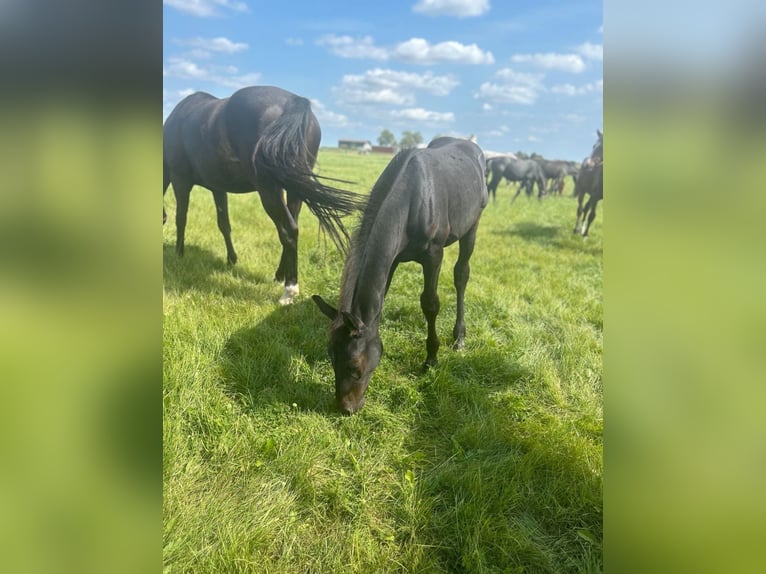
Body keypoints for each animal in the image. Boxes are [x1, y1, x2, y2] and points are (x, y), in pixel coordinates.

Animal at [163, 85, 366, 306]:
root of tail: (294, 102)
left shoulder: (180, 181)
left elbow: (181, 219)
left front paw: (178, 254)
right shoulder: (218, 189)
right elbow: (224, 224)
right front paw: (231, 259)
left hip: (269, 190)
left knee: (288, 230)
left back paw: (289, 290)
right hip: (293, 189)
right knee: (293, 227)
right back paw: (280, 275)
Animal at [310, 137, 486, 416]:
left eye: (355, 367)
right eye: (330, 356)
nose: (346, 408)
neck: (413, 198)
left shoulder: (433, 254)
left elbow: (430, 303)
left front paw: (431, 358)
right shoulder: (391, 259)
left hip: (472, 226)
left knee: (461, 275)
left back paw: (459, 337)